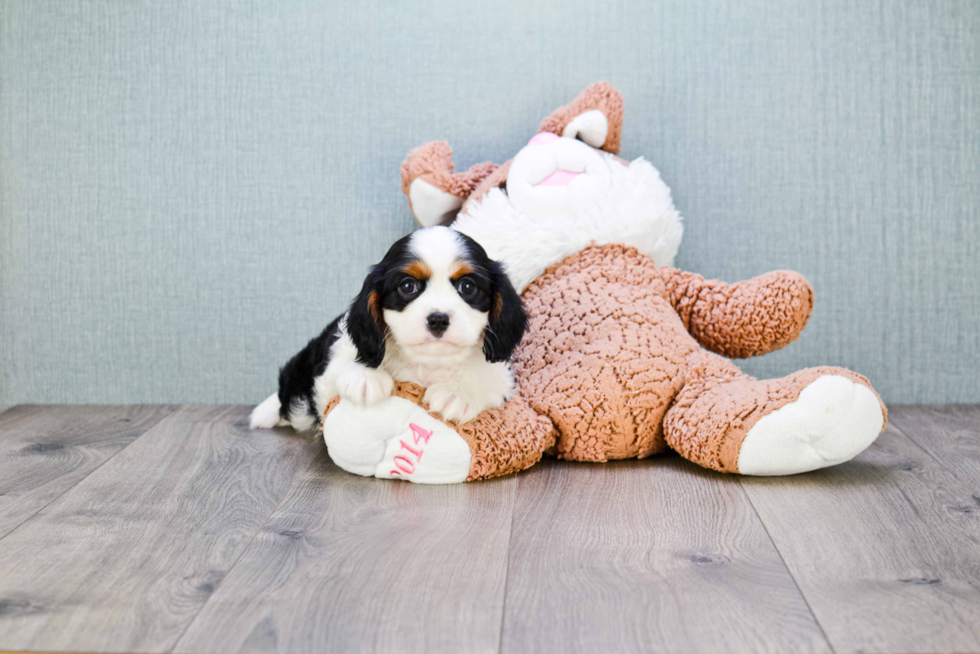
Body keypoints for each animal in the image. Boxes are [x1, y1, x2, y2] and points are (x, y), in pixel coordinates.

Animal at [253, 227, 528, 436]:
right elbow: (341, 364)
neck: (430, 363)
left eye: (467, 286)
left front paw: (459, 393)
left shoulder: (502, 380)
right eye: (408, 286)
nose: (438, 319)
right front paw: (365, 376)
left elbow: (488, 380)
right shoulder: (328, 370)